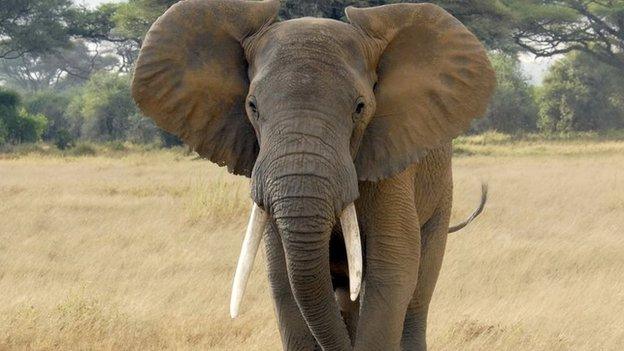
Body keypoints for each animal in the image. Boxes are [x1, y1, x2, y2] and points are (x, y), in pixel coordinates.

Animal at [130, 1, 492, 350]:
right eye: (252, 106)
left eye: (360, 108)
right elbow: (283, 278)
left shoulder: (392, 167)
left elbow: (392, 269)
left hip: (441, 198)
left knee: (416, 297)